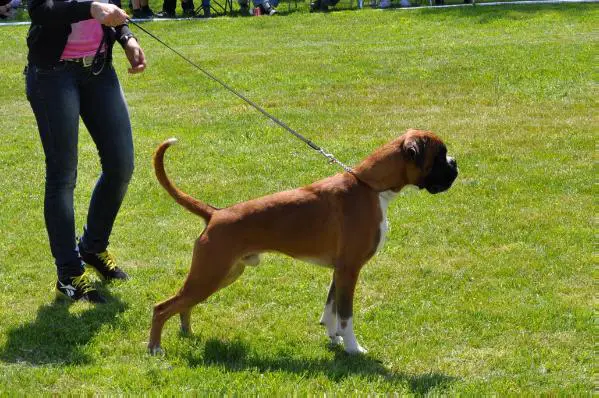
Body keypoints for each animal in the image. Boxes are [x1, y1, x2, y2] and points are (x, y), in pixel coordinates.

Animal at [148, 130, 458, 354]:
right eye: (440, 154)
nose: (455, 163)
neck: (370, 187)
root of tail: (215, 213)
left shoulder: (339, 271)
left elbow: (331, 308)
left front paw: (334, 340)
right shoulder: (350, 269)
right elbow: (346, 315)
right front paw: (354, 349)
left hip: (224, 274)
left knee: (183, 304)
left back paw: (187, 332)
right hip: (210, 275)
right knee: (162, 307)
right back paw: (155, 349)